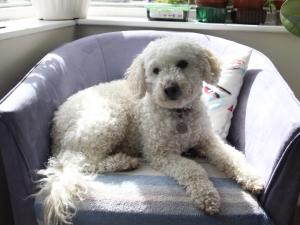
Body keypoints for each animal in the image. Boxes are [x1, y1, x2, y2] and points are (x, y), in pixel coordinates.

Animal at [37, 37, 262, 225]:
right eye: (155, 70)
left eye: (182, 63)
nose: (170, 88)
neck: (179, 114)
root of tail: (56, 125)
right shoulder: (159, 153)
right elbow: (193, 170)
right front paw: (208, 196)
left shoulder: (207, 139)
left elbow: (231, 156)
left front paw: (251, 177)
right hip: (108, 119)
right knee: (86, 162)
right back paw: (123, 161)